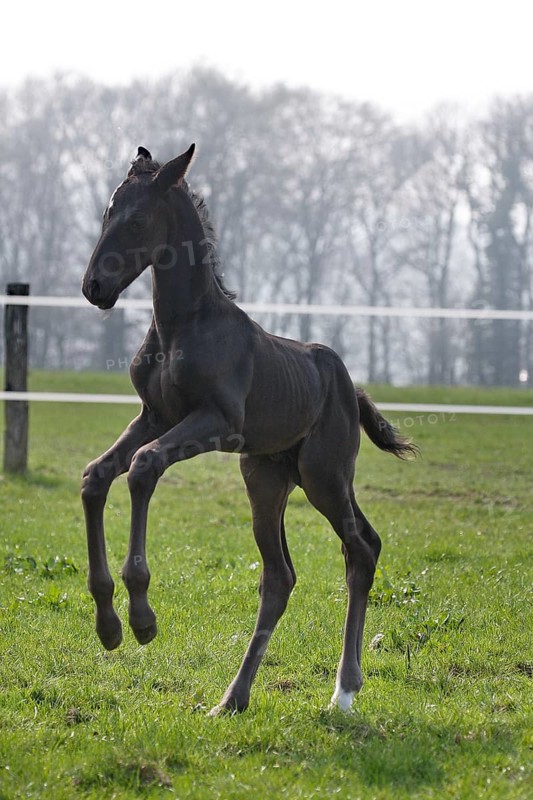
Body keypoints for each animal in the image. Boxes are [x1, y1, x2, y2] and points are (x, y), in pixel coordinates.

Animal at [81, 144, 416, 714]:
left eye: (139, 219)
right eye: (108, 212)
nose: (94, 287)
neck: (183, 325)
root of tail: (348, 386)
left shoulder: (215, 421)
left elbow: (143, 467)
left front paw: (143, 617)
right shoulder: (154, 416)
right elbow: (96, 477)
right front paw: (108, 625)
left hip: (324, 476)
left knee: (360, 550)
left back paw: (344, 690)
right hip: (268, 477)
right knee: (283, 575)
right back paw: (233, 699)